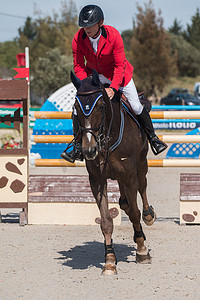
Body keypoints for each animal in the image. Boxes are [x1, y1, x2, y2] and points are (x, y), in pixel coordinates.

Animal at [70, 69, 156, 276]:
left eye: (101, 106)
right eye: (76, 107)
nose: (89, 150)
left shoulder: (130, 176)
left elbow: (135, 213)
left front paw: (142, 251)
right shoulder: (97, 180)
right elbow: (106, 221)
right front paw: (109, 261)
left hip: (141, 166)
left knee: (142, 189)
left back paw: (148, 215)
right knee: (125, 199)